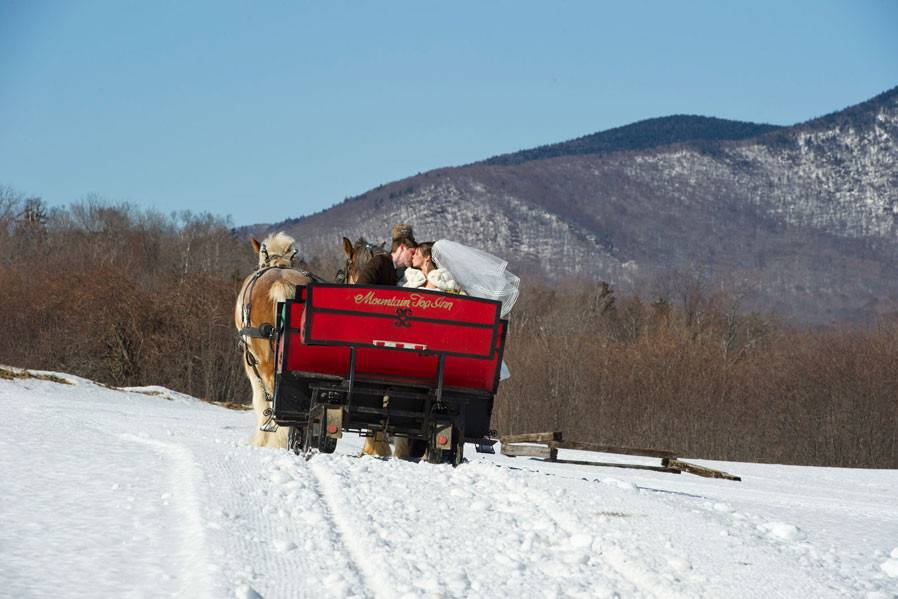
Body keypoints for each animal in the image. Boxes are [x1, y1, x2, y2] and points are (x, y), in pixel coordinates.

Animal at [234, 232, 312, 448]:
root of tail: (282, 283)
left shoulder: (249, 358)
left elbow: (260, 396)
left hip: (264, 357)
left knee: (271, 390)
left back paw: (276, 436)